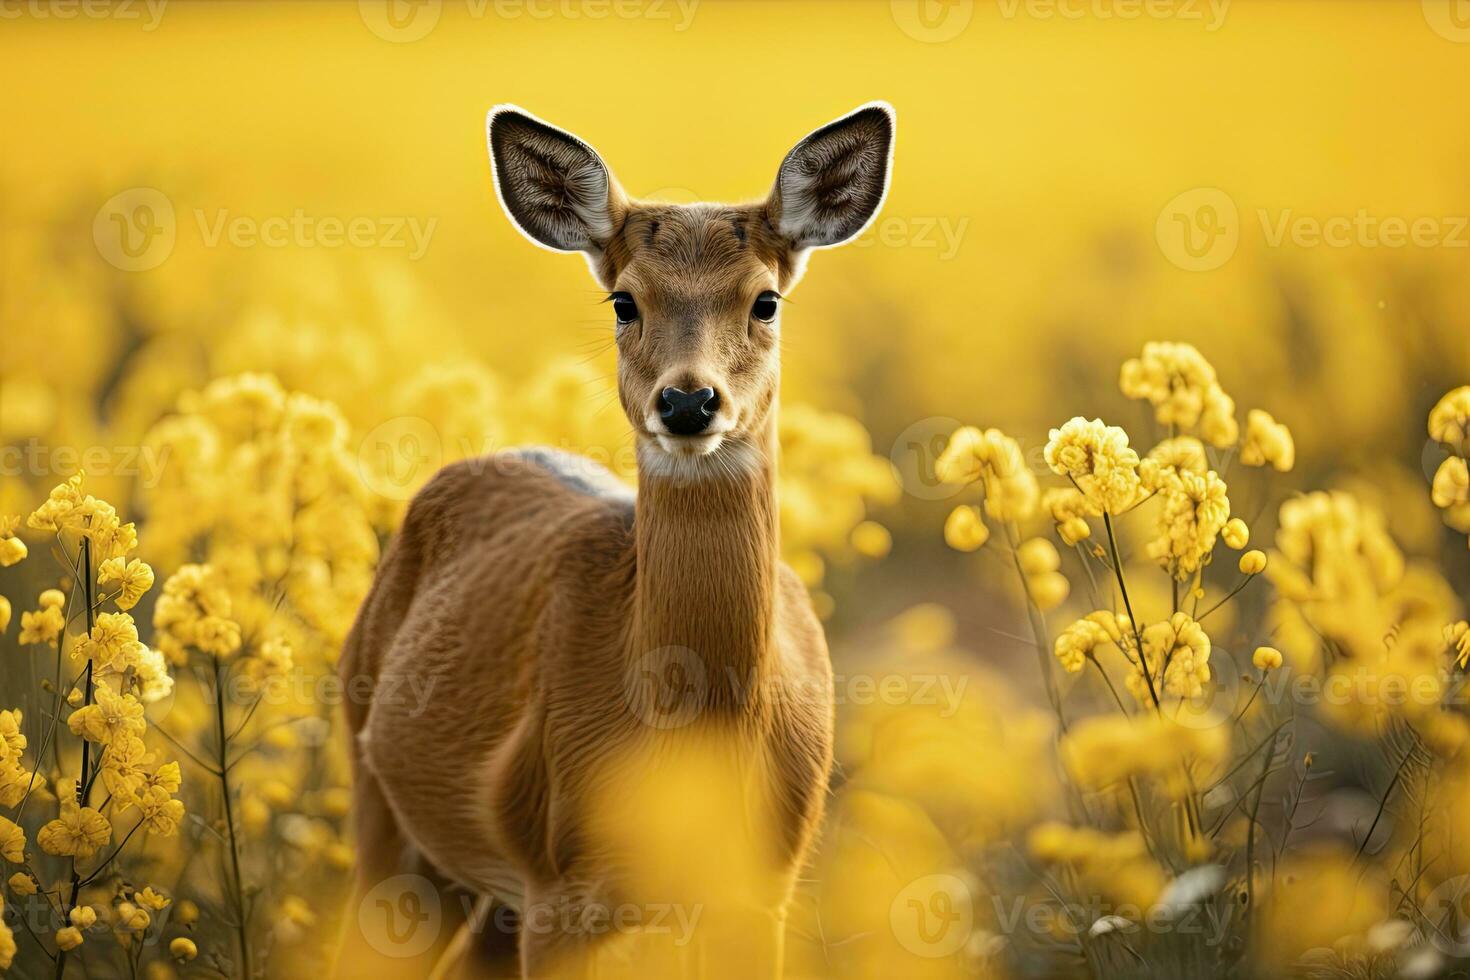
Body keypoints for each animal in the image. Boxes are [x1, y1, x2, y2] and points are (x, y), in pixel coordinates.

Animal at [341, 101, 893, 980]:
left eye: (766, 301)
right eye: (624, 302)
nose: (689, 401)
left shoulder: (760, 893)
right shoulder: (559, 884)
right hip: (375, 789)